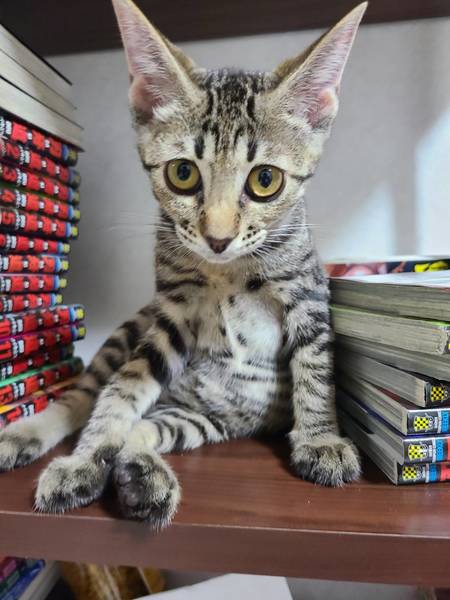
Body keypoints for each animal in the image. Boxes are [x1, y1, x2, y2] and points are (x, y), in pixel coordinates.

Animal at [0, 0, 365, 528]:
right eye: (183, 173)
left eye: (266, 181)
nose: (218, 238)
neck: (227, 271)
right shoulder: (169, 313)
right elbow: (120, 392)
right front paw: (85, 457)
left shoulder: (307, 293)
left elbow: (315, 366)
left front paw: (320, 439)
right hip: (132, 330)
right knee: (85, 396)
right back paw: (36, 437)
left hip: (202, 418)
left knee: (147, 430)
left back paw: (142, 476)